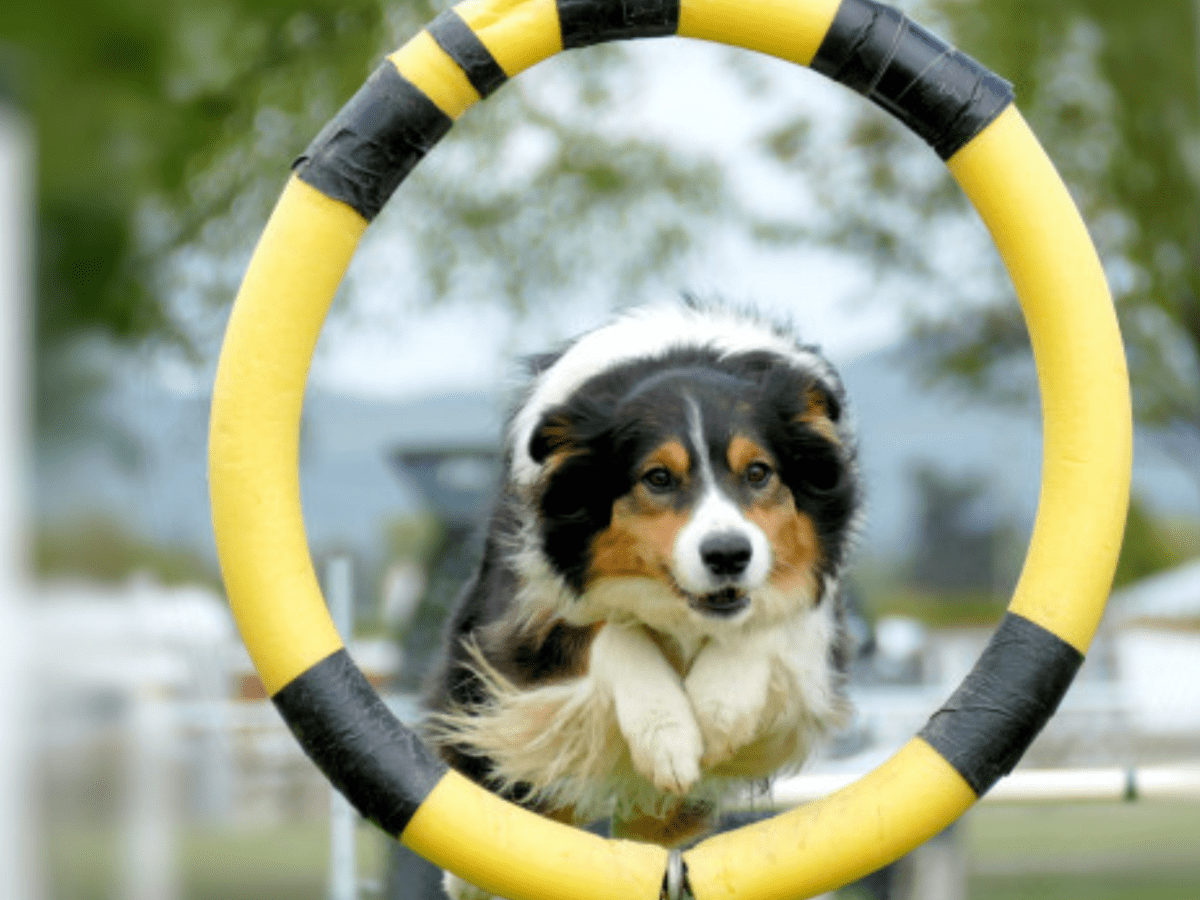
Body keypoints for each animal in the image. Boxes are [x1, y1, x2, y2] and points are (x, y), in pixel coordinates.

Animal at [427, 307, 859, 897]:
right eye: (657, 478)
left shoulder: (812, 617)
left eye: (758, 473)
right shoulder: (527, 612)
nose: (729, 555)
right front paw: (670, 737)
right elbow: (612, 632)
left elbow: (769, 623)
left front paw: (714, 715)